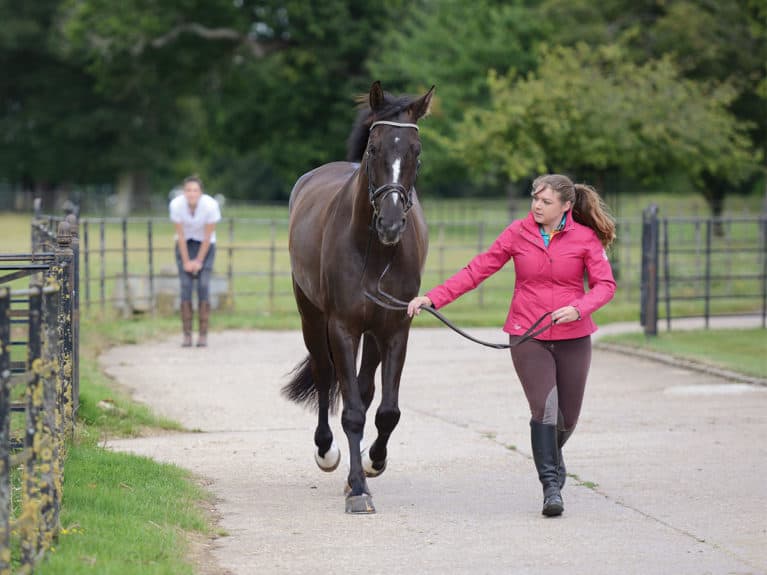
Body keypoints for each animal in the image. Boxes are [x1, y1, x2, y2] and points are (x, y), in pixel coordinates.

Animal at [284, 80, 438, 512]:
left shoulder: (395, 329)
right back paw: (326, 452)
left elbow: (386, 410)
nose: (391, 222)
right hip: (312, 318)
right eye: (374, 149)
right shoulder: (343, 328)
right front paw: (357, 489)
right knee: (325, 376)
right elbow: (351, 411)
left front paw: (373, 463)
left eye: (416, 152)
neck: (376, 253)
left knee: (366, 389)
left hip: (372, 332)